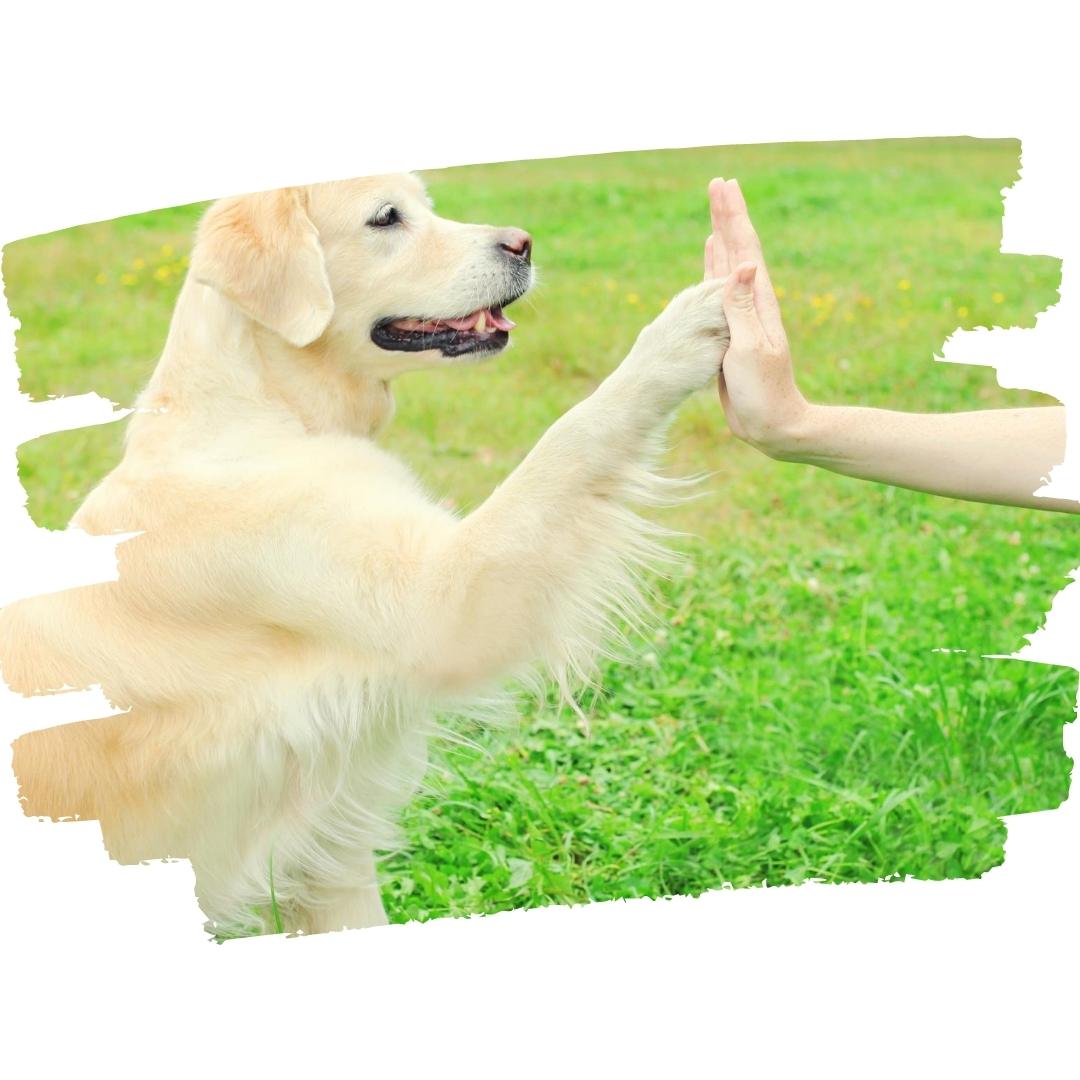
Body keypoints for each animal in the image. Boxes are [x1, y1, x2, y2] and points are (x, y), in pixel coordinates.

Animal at [4, 174, 730, 937]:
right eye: (386, 218)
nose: (523, 244)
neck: (259, 407)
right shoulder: (443, 601)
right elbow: (572, 437)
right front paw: (680, 333)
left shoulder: (325, 857)